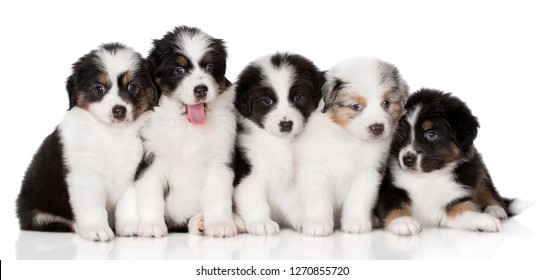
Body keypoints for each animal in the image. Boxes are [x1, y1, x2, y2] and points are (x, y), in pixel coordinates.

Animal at [14, 42, 158, 242]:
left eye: (131, 87)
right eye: (99, 88)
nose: (119, 111)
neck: (112, 133)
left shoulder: (131, 173)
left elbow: (127, 203)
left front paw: (129, 227)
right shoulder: (84, 174)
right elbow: (92, 206)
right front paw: (96, 229)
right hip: (39, 211)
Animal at [134, 25, 240, 236]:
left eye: (210, 67)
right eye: (179, 70)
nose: (201, 89)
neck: (187, 126)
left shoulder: (218, 160)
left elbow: (217, 195)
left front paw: (219, 224)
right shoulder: (152, 159)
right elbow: (151, 193)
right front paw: (151, 225)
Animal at [233, 52, 324, 234]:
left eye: (297, 97)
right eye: (267, 101)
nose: (286, 124)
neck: (281, 144)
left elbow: (297, 202)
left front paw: (306, 221)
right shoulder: (250, 171)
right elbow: (254, 199)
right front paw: (261, 222)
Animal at [294, 57, 408, 236]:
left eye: (386, 103)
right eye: (356, 106)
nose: (377, 128)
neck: (349, 139)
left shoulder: (367, 173)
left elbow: (358, 199)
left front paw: (356, 224)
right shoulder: (315, 169)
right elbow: (318, 199)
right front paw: (317, 225)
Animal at [374, 88, 532, 235]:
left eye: (431, 135)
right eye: (401, 133)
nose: (407, 160)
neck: (429, 177)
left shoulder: (454, 197)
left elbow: (464, 209)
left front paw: (483, 220)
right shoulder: (389, 188)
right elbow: (393, 204)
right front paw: (404, 221)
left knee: (489, 191)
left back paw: (495, 210)